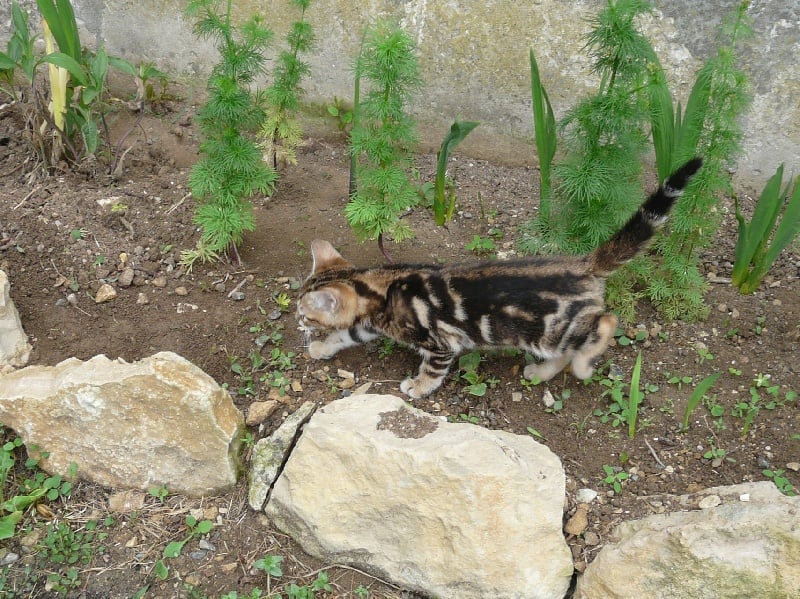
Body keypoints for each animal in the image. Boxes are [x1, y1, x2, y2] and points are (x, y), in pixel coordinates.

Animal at [298, 158, 700, 398]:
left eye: (305, 315)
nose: (299, 325)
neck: (382, 287)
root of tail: (583, 264)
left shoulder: (441, 344)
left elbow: (432, 369)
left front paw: (419, 386)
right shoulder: (367, 324)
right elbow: (344, 334)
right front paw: (322, 347)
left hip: (554, 329)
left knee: (605, 324)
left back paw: (584, 365)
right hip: (546, 337)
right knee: (565, 352)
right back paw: (540, 373)